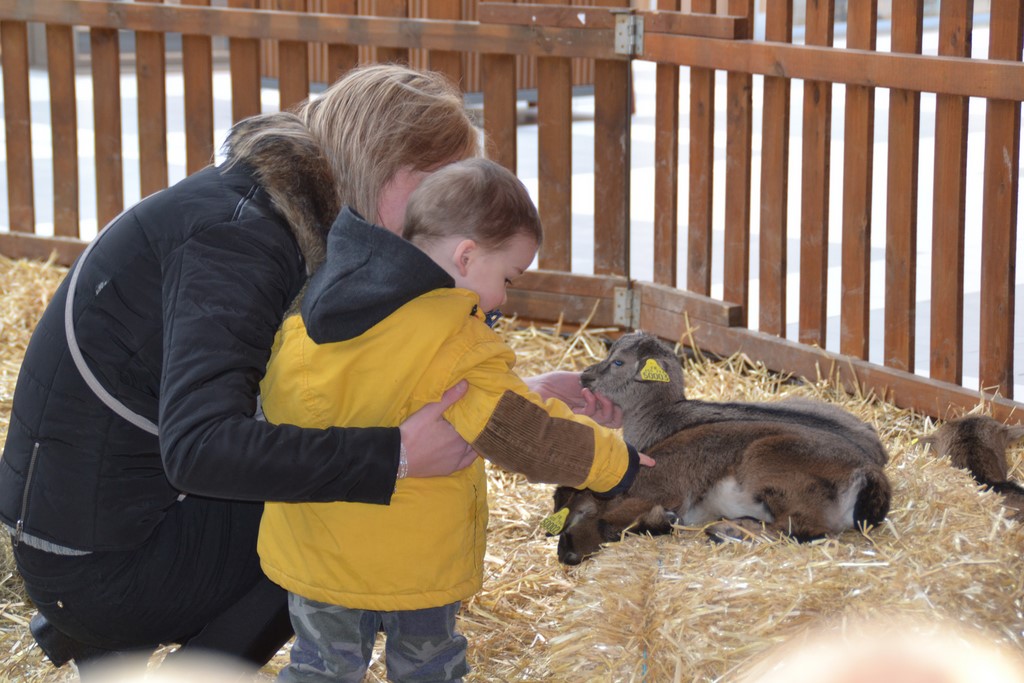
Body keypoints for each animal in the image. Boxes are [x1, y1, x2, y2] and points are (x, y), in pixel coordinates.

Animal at [548, 331, 892, 565]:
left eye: (618, 361)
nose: (585, 376)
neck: (663, 414)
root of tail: (870, 471)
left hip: (766, 464)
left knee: (806, 529)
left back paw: (727, 531)